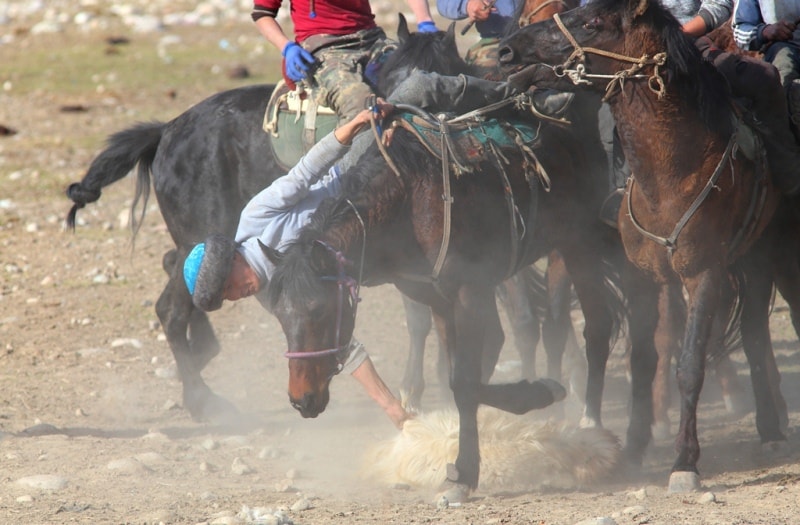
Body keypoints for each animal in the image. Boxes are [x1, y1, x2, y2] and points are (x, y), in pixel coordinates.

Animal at [496, 0, 792, 490]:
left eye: (591, 22)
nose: (506, 51)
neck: (673, 173)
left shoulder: (704, 274)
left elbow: (689, 364)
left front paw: (684, 462)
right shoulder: (641, 277)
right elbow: (643, 357)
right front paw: (634, 447)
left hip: (764, 254)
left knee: (754, 332)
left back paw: (771, 429)